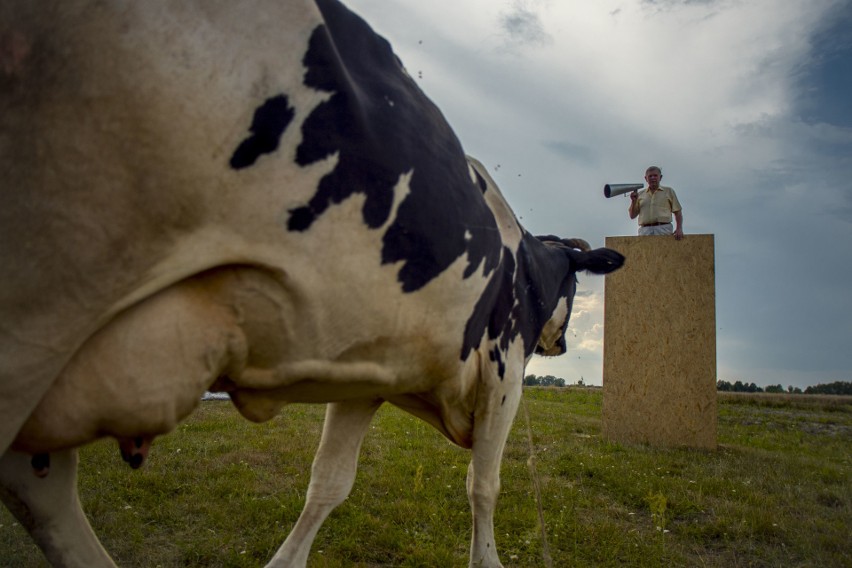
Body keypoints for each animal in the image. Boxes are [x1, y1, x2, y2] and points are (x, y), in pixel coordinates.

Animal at [0, 2, 624, 564]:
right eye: (577, 288)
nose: (561, 343)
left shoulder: (370, 376)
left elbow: (329, 481)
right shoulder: (503, 376)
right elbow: (484, 487)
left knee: (41, 485)